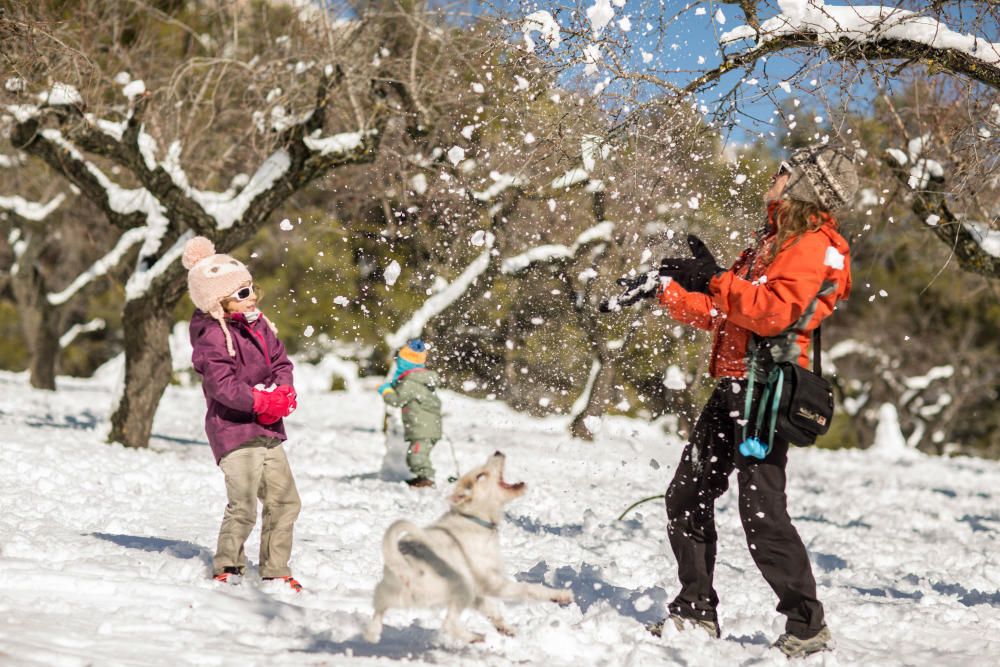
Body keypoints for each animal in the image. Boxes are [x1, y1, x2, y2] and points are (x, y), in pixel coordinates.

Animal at [366, 452, 572, 644]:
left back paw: (373, 634)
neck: (474, 518)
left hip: (388, 592)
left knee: (378, 609)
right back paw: (473, 637)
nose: (497, 452)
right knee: (448, 623)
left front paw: (505, 628)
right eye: (481, 475)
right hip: (460, 588)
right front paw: (560, 595)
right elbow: (529, 588)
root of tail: (405, 568)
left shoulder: (477, 592)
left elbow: (490, 608)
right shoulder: (493, 584)